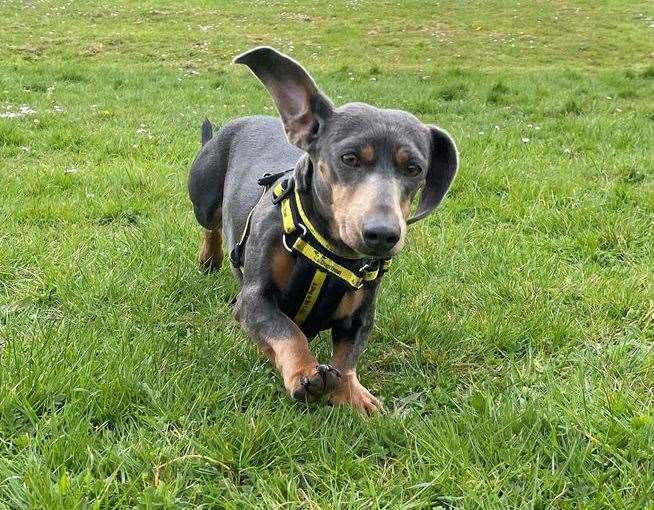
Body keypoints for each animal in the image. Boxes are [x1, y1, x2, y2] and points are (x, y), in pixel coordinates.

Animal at [187, 46, 458, 414]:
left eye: (415, 168)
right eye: (349, 158)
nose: (383, 234)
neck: (329, 252)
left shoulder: (360, 316)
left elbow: (348, 356)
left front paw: (352, 393)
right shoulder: (253, 299)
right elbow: (287, 331)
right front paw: (304, 373)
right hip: (204, 199)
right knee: (211, 226)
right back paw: (209, 257)